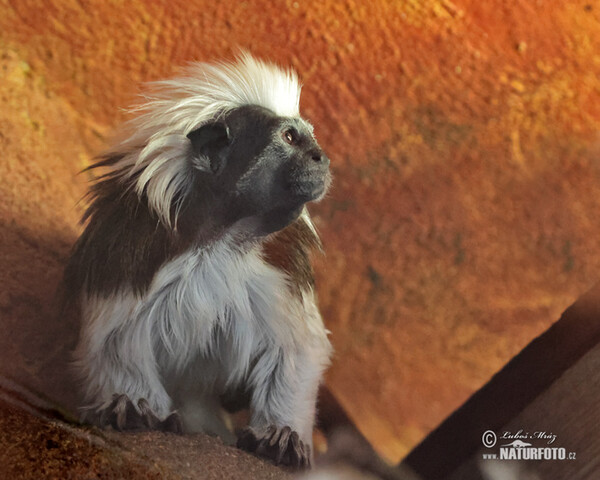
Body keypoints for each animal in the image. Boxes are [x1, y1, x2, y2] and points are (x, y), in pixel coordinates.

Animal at [63, 53, 336, 468]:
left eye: (310, 139)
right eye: (290, 138)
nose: (322, 157)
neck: (222, 239)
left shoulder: (283, 271)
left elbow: (296, 351)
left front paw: (280, 435)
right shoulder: (131, 249)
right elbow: (118, 336)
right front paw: (134, 405)